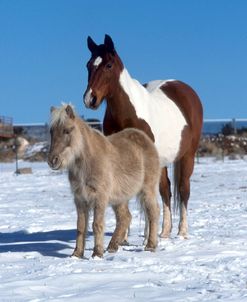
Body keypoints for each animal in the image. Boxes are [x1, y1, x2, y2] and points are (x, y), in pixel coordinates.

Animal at [47, 103, 160, 258]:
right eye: (51, 131)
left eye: (67, 130)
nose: (52, 160)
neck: (87, 162)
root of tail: (144, 138)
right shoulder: (80, 199)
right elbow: (80, 226)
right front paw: (76, 254)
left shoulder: (99, 198)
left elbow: (96, 224)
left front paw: (97, 253)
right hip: (120, 198)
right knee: (125, 218)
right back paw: (112, 247)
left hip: (147, 190)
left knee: (153, 213)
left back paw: (150, 246)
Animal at [82, 34, 203, 238]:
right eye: (88, 65)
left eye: (108, 65)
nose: (90, 99)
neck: (127, 114)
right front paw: (123, 236)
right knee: (165, 190)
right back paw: (163, 231)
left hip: (187, 156)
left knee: (183, 189)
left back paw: (181, 232)